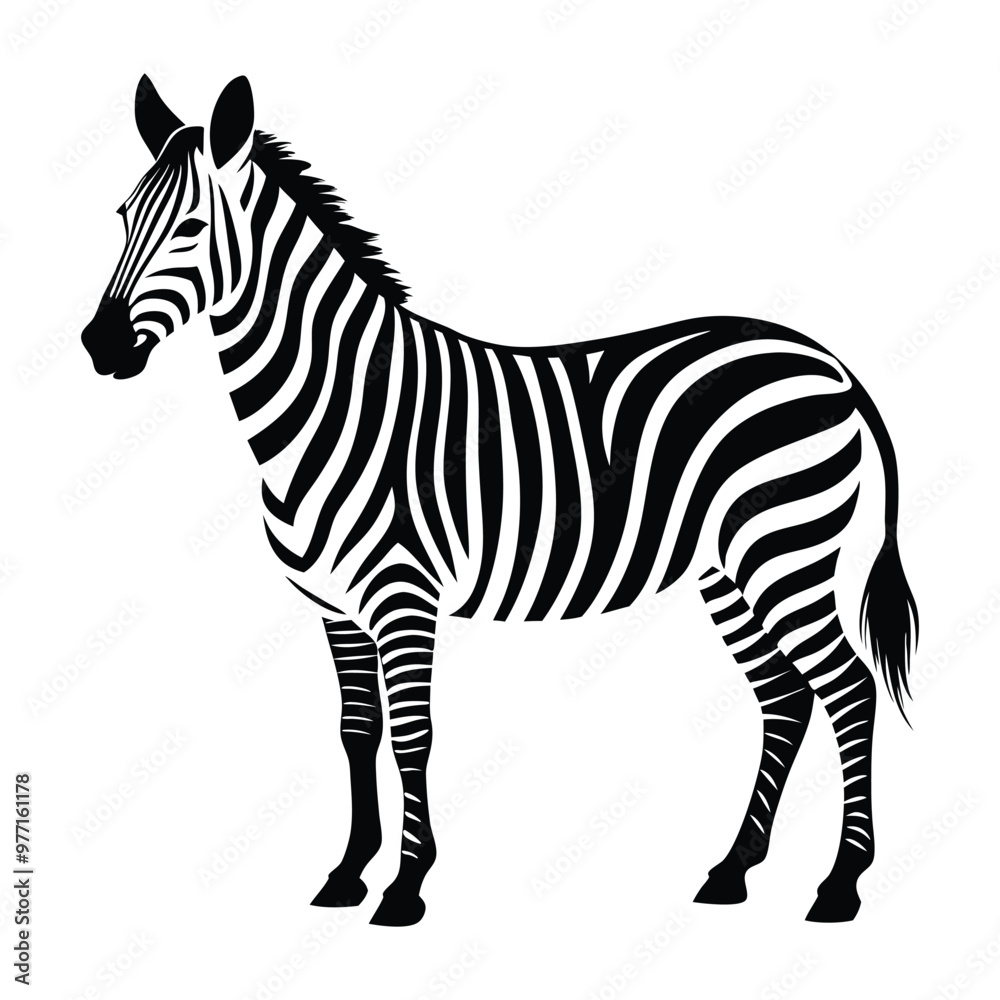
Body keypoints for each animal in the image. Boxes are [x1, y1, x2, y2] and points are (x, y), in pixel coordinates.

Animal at [81, 75, 919, 926]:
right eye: (121, 217)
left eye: (191, 227)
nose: (99, 346)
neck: (338, 402)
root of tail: (827, 363)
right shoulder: (334, 608)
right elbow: (358, 733)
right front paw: (348, 873)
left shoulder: (402, 596)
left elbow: (412, 736)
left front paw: (405, 886)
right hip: (729, 571)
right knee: (785, 698)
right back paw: (732, 869)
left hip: (787, 552)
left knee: (848, 690)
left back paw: (840, 883)